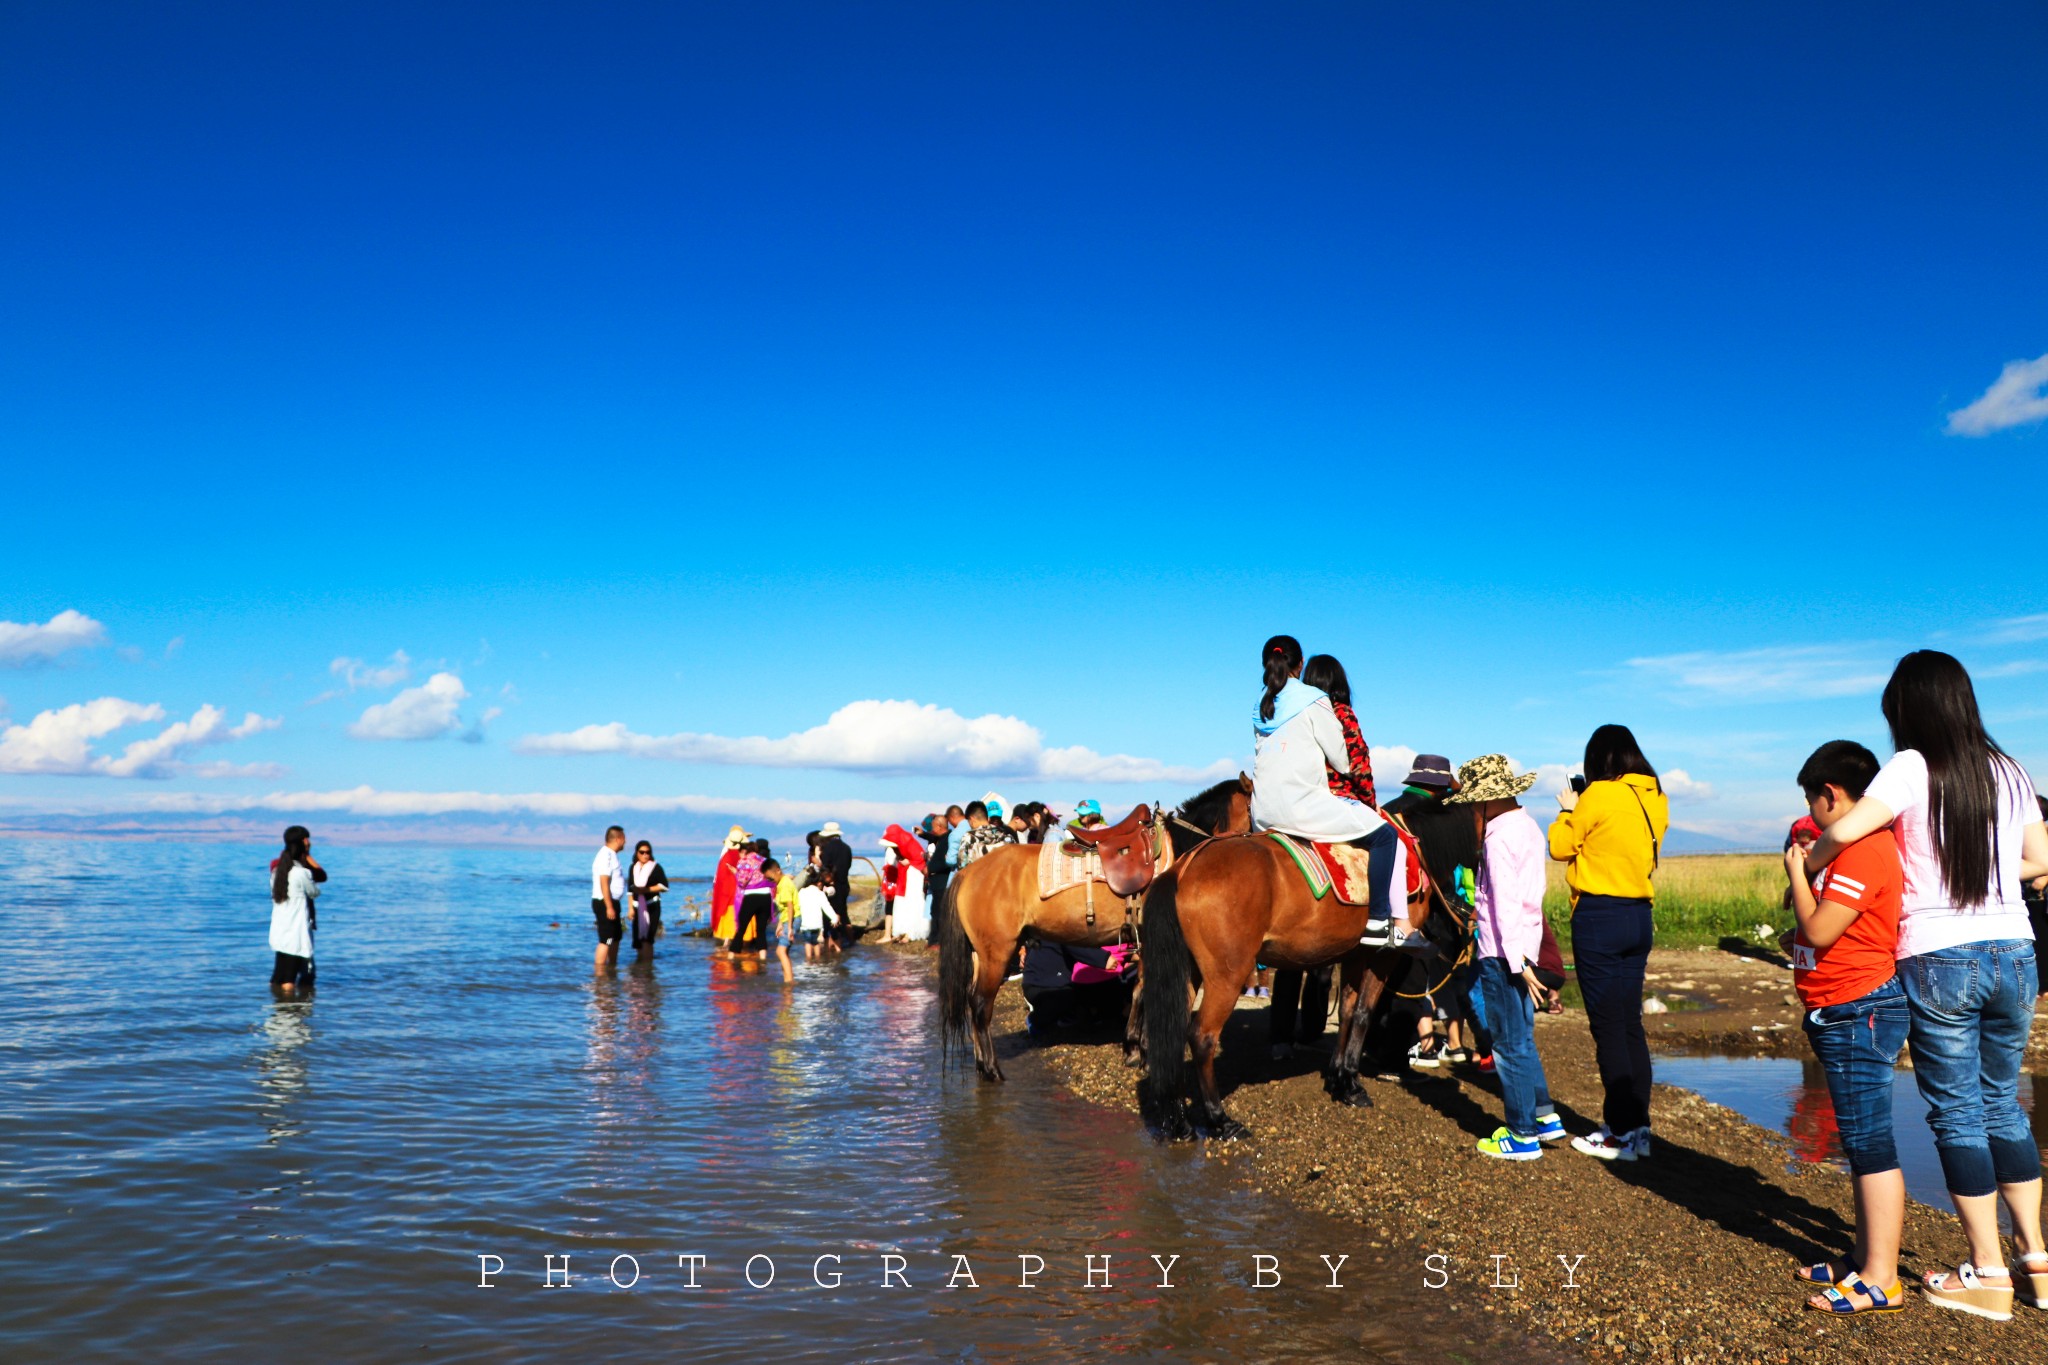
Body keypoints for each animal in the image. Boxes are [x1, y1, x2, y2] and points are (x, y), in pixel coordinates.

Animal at [937, 777, 1245, 1080]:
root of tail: (968, 872)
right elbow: (1147, 991)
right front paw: (1143, 1050)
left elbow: (1138, 990)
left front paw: (1133, 1047)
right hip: (997, 952)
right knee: (980, 1004)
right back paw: (991, 1069)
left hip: (980, 953)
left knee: (971, 1000)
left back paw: (982, 1064)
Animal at [1138, 826, 1474, 1137]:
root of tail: (1187, 865)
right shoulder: (1382, 957)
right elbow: (1364, 1014)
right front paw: (1352, 1084)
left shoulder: (1354, 953)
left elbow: (1347, 1012)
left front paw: (1340, 1079)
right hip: (1227, 976)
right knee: (1202, 1037)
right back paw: (1220, 1120)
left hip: (1190, 974)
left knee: (1173, 1032)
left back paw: (1178, 1120)